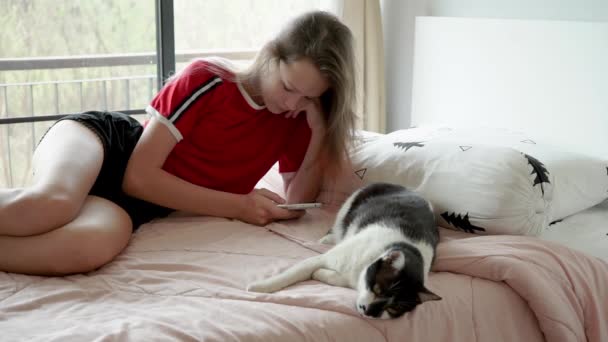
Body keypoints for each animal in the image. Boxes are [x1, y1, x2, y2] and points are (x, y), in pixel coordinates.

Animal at [247, 183, 442, 320]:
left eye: (393, 308)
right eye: (378, 289)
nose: (369, 312)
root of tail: (407, 188)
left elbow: (339, 279)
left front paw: (320, 274)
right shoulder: (324, 258)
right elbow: (291, 274)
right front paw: (260, 287)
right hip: (348, 208)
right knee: (337, 228)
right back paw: (327, 239)